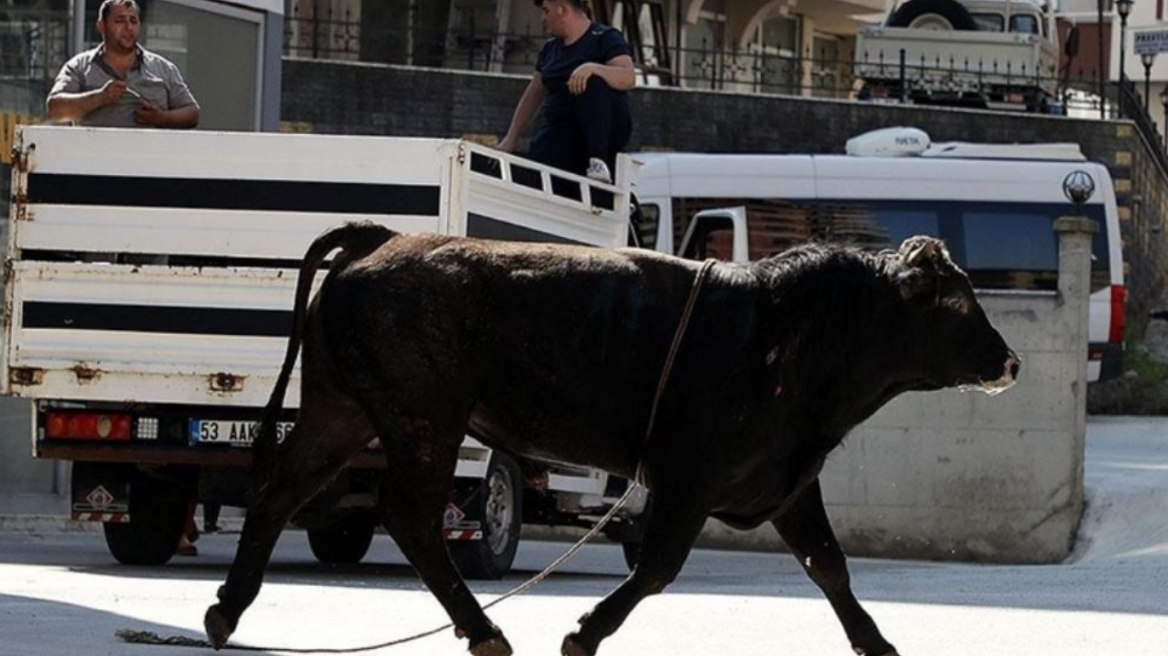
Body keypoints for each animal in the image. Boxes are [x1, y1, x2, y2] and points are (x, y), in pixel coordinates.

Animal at [205, 220, 1018, 653]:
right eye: (959, 303)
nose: (1009, 361)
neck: (789, 330)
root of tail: (380, 242)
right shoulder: (688, 479)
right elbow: (657, 568)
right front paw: (585, 632)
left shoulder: (786, 481)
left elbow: (831, 567)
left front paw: (878, 643)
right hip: (423, 422)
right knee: (409, 518)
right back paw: (483, 629)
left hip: (340, 411)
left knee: (278, 490)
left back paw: (225, 611)